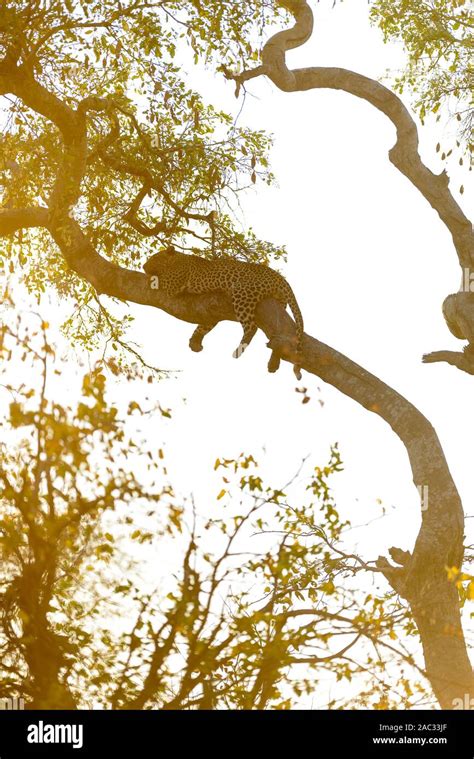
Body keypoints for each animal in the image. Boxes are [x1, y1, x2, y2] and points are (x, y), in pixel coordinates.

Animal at [144, 248, 306, 380]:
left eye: (154, 258)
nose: (143, 266)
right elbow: (204, 326)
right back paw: (273, 362)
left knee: (251, 327)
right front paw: (195, 341)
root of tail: (279, 276)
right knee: (278, 334)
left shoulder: (173, 283)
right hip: (278, 306)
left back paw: (239, 350)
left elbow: (159, 279)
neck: (177, 259)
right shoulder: (210, 313)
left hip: (242, 293)